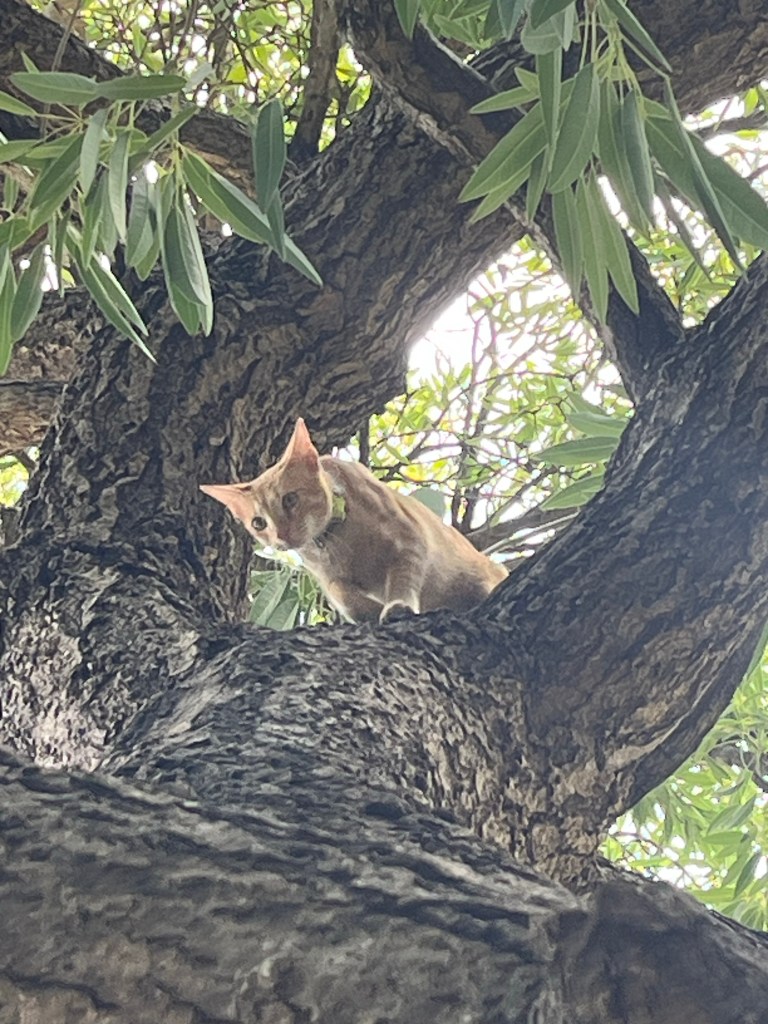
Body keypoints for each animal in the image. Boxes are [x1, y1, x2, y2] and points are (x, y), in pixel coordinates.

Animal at [200, 418, 508, 623]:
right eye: (258, 523)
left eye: (290, 499)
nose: (281, 538)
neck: (342, 539)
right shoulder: (329, 579)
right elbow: (342, 594)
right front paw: (368, 613)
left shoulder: (410, 541)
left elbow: (403, 579)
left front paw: (397, 605)